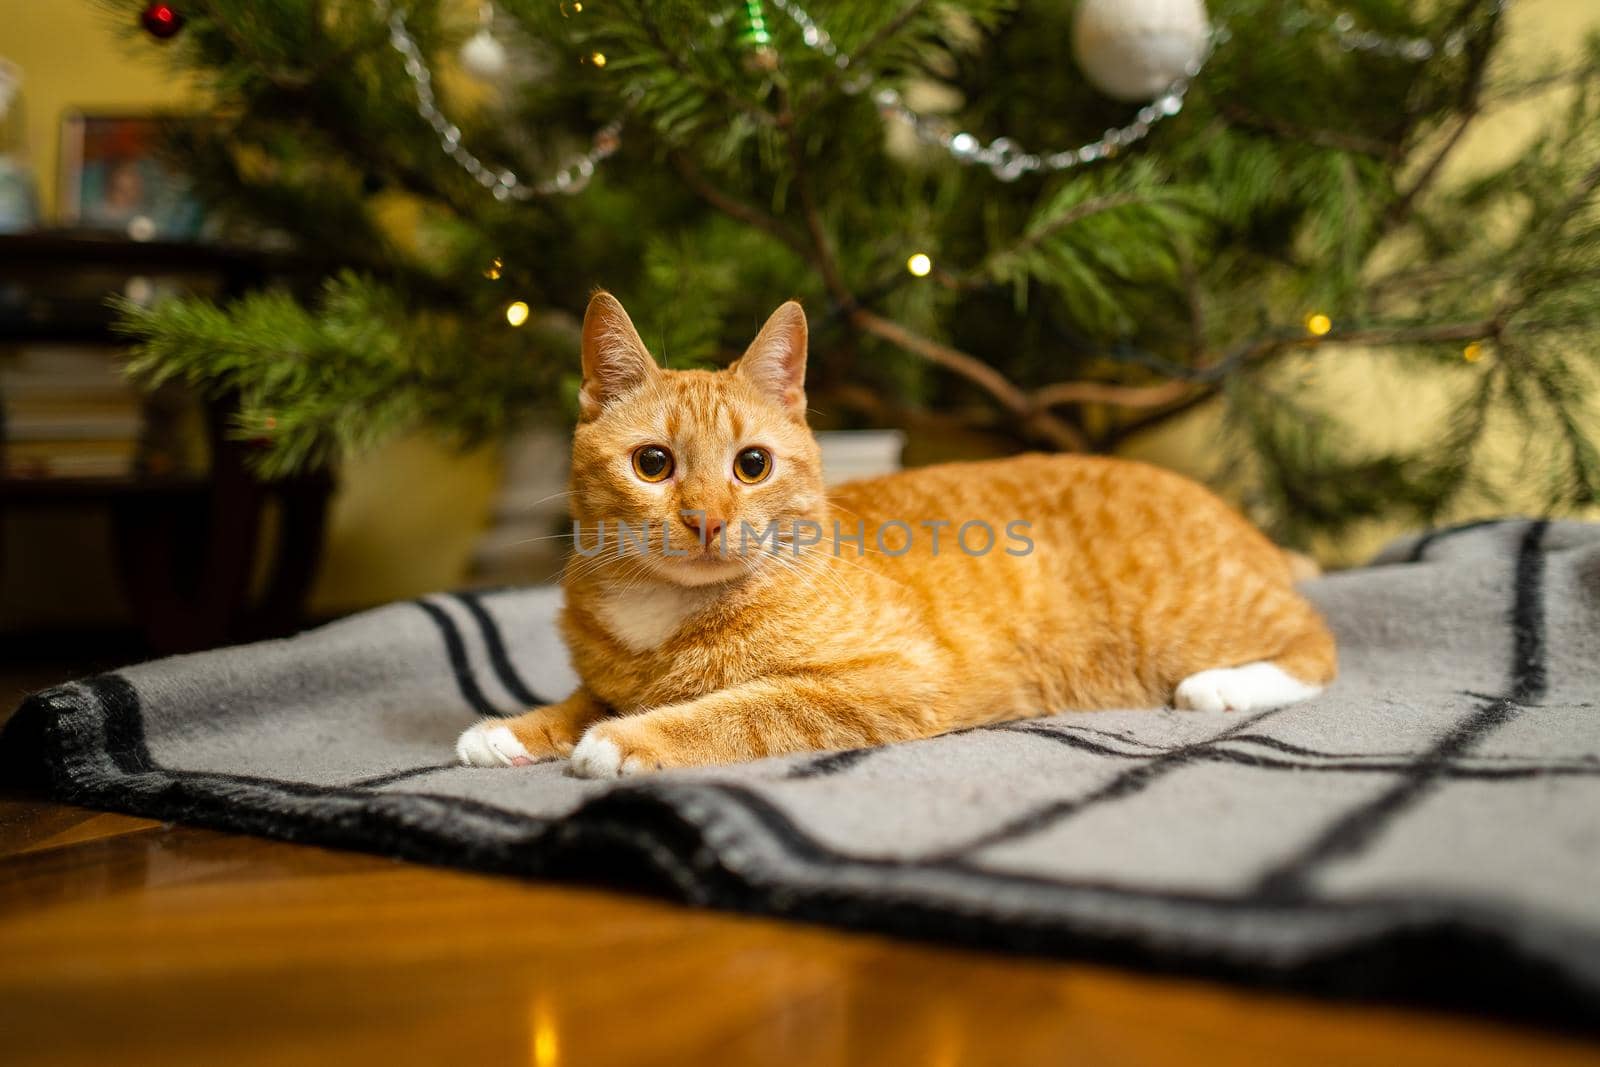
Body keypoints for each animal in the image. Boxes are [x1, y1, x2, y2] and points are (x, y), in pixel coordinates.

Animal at [457, 292, 1331, 777]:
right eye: (653, 463)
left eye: (751, 465)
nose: (706, 518)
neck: (664, 614)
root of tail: (1229, 514)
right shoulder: (609, 673)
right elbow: (580, 697)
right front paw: (515, 728)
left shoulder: (892, 679)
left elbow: (739, 708)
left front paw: (625, 739)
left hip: (1191, 620)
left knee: (1318, 645)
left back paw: (1225, 684)